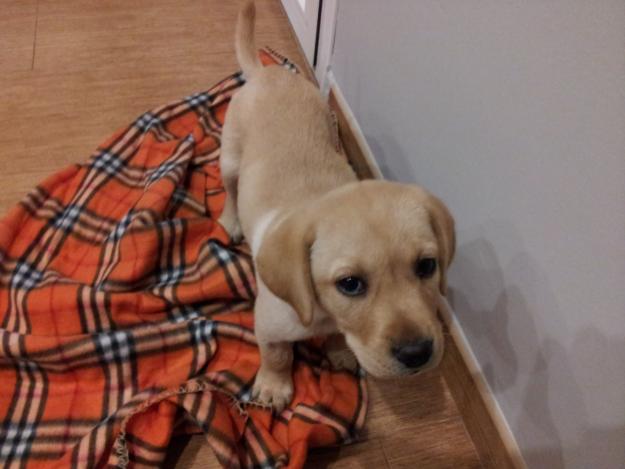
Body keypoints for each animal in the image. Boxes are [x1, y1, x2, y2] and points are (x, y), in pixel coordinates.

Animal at [217, 0, 456, 410]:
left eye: (427, 266)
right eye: (350, 284)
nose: (417, 354)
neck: (324, 312)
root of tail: (266, 72)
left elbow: (334, 337)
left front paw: (339, 350)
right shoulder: (268, 323)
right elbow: (277, 354)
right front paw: (274, 386)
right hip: (230, 155)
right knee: (231, 188)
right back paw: (232, 219)